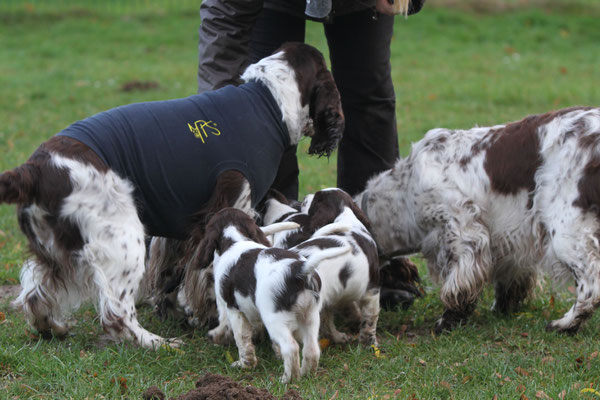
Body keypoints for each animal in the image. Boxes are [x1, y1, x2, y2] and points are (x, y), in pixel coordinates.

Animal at [2, 41, 344, 346]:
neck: (268, 101)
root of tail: (33, 169)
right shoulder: (229, 207)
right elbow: (208, 272)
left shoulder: (179, 227)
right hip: (123, 235)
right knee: (115, 314)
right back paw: (158, 343)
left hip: (56, 247)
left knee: (34, 290)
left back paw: (53, 328)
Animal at [197, 208, 350, 382]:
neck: (235, 240)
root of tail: (298, 270)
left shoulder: (233, 310)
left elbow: (241, 338)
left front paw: (244, 364)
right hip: (310, 315)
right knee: (312, 349)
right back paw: (306, 374)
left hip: (274, 318)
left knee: (291, 347)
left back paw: (288, 379)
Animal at [354, 106, 600, 334]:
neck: (405, 189)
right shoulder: (507, 238)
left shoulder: (462, 230)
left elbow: (458, 283)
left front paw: (448, 319)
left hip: (565, 229)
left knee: (591, 284)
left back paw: (565, 324)